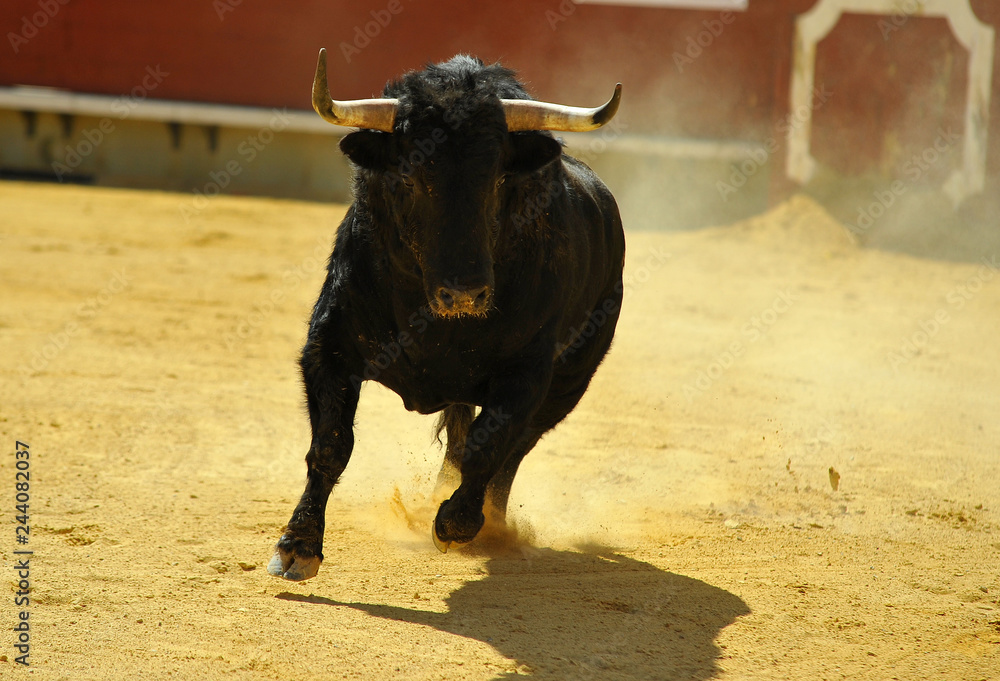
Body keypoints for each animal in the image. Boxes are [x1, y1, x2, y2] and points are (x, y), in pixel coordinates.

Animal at [266, 50, 624, 580]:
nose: (464, 294)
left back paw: (488, 523)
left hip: (569, 381)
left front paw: (454, 524)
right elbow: (331, 444)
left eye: (499, 179)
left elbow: (488, 447)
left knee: (513, 451)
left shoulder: (527, 373)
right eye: (408, 178)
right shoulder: (329, 348)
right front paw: (298, 545)